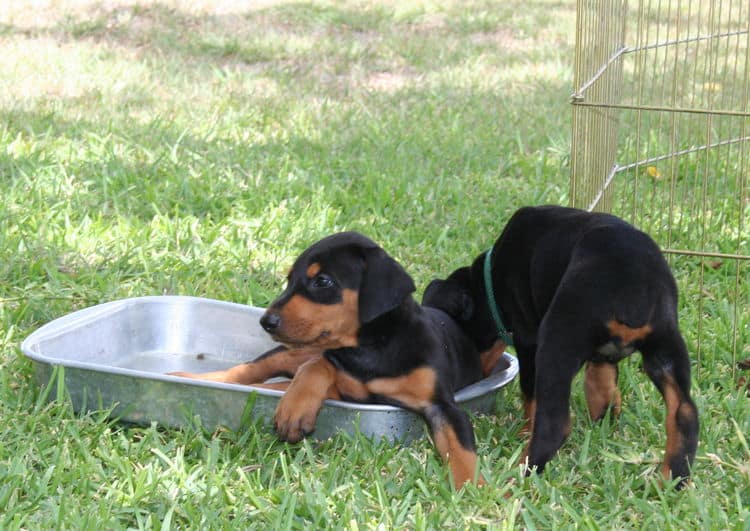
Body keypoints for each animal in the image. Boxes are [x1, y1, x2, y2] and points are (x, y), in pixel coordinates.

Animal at [426, 206, 704, 488]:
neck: (490, 279)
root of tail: (635, 292)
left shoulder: (528, 338)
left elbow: (531, 394)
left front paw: (524, 430)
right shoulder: (604, 355)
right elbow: (602, 381)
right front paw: (604, 417)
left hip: (557, 339)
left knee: (554, 424)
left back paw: (519, 472)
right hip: (667, 343)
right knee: (684, 413)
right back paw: (672, 479)